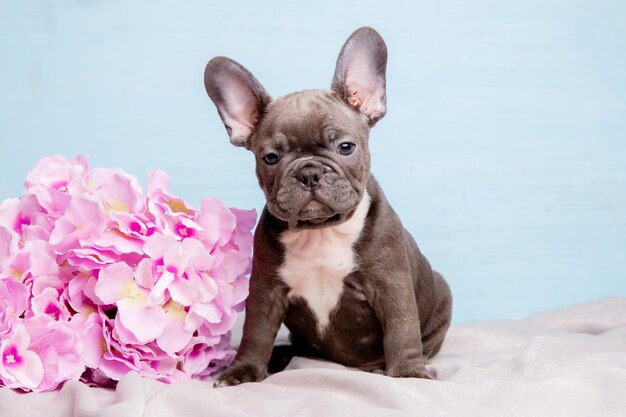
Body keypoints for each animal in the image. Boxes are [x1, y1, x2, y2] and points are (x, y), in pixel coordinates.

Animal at [207, 26, 450, 386]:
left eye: (345, 147)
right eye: (270, 158)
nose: (309, 172)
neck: (320, 231)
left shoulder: (391, 286)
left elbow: (402, 330)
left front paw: (408, 374)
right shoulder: (266, 292)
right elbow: (256, 333)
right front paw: (243, 370)